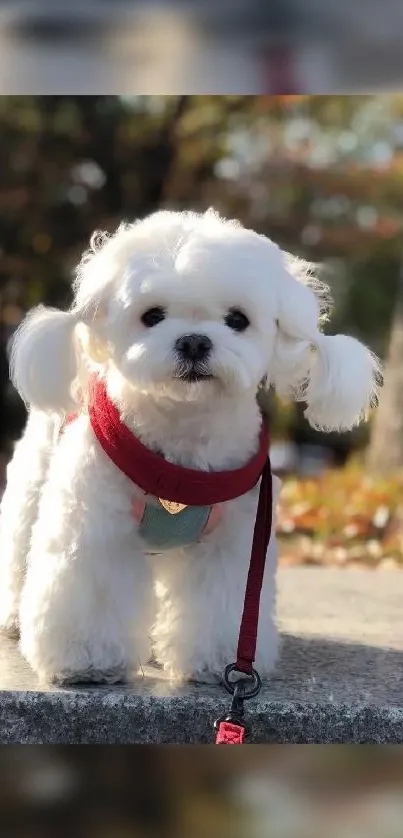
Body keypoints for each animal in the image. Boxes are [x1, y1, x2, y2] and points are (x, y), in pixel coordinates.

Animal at [0, 210, 382, 688]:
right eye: (152, 315)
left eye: (237, 319)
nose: (195, 341)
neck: (183, 429)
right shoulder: (96, 522)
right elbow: (92, 583)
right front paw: (88, 662)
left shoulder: (236, 536)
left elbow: (222, 598)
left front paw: (216, 661)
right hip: (35, 479)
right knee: (21, 546)